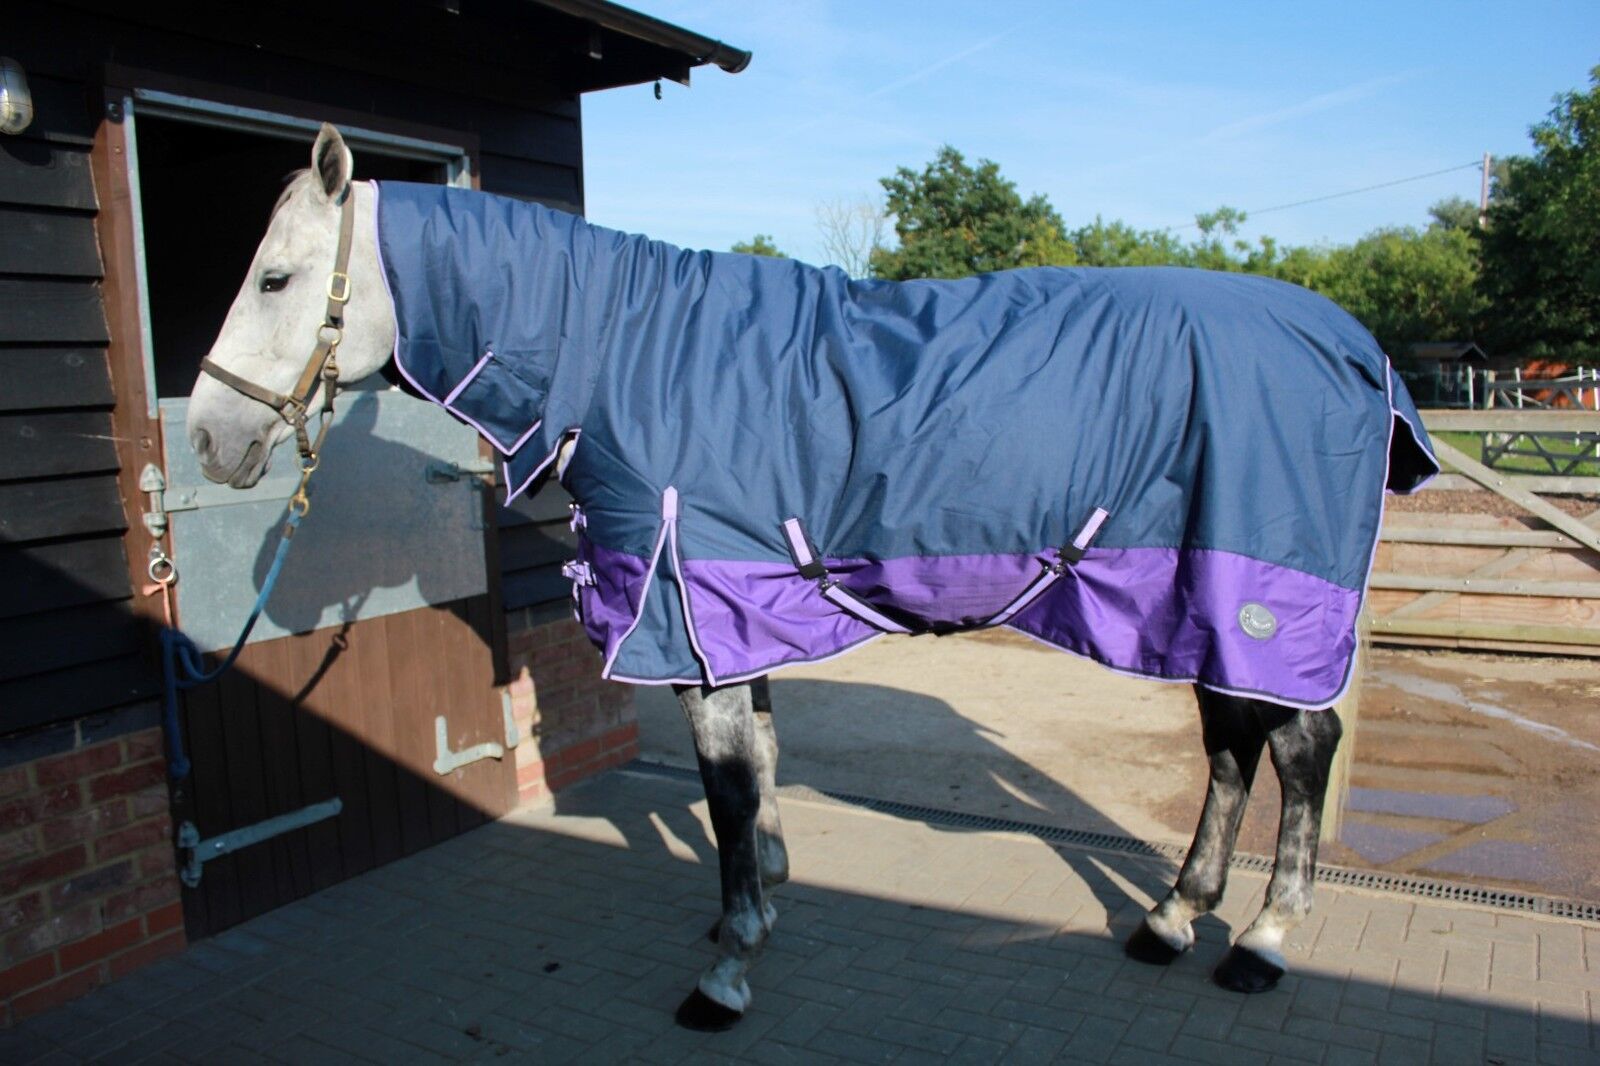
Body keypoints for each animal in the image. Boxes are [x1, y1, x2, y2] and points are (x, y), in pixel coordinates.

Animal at [186, 124, 1437, 1032]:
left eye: (276, 278)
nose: (207, 439)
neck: (636, 359)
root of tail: (1354, 350)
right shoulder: (732, 619)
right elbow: (762, 769)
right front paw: (766, 908)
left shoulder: (692, 617)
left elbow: (729, 797)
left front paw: (728, 968)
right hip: (1193, 607)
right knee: (1231, 752)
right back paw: (1173, 918)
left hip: (1258, 603)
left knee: (1298, 750)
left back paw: (1263, 941)